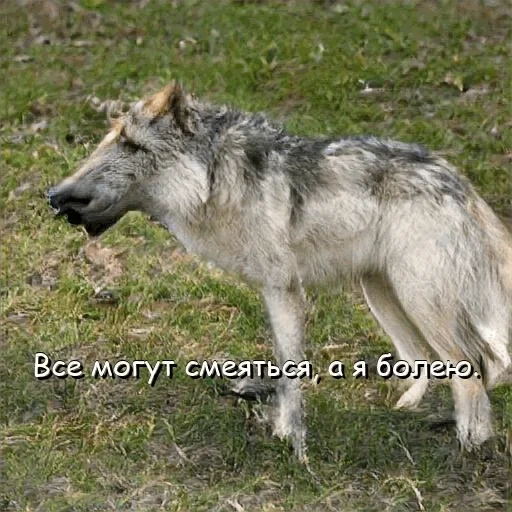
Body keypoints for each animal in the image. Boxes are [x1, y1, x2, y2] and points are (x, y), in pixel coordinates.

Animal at [46, 83, 510, 460]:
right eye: (109, 140)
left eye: (131, 145)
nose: (54, 195)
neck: (216, 180)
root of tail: (460, 180)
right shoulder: (274, 292)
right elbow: (287, 375)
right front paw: (283, 432)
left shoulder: (283, 289)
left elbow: (291, 373)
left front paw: (296, 446)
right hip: (384, 298)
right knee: (433, 362)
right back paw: (407, 413)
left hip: (420, 301)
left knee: (474, 366)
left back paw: (469, 447)